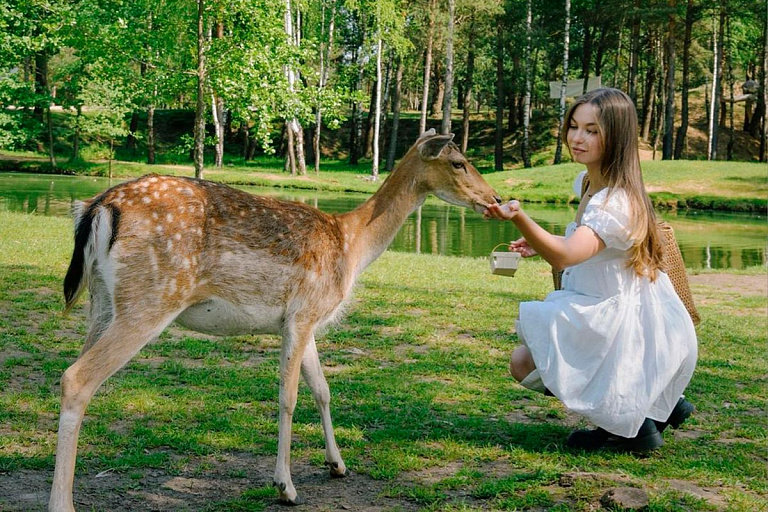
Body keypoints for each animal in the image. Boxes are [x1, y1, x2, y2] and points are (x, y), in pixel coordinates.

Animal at [49, 129, 504, 512]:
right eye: (459, 162)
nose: (497, 199)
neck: (351, 246)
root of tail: (98, 207)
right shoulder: (302, 314)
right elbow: (289, 397)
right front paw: (285, 486)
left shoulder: (306, 319)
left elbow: (323, 389)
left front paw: (337, 464)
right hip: (152, 298)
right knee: (77, 377)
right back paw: (62, 503)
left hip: (101, 303)